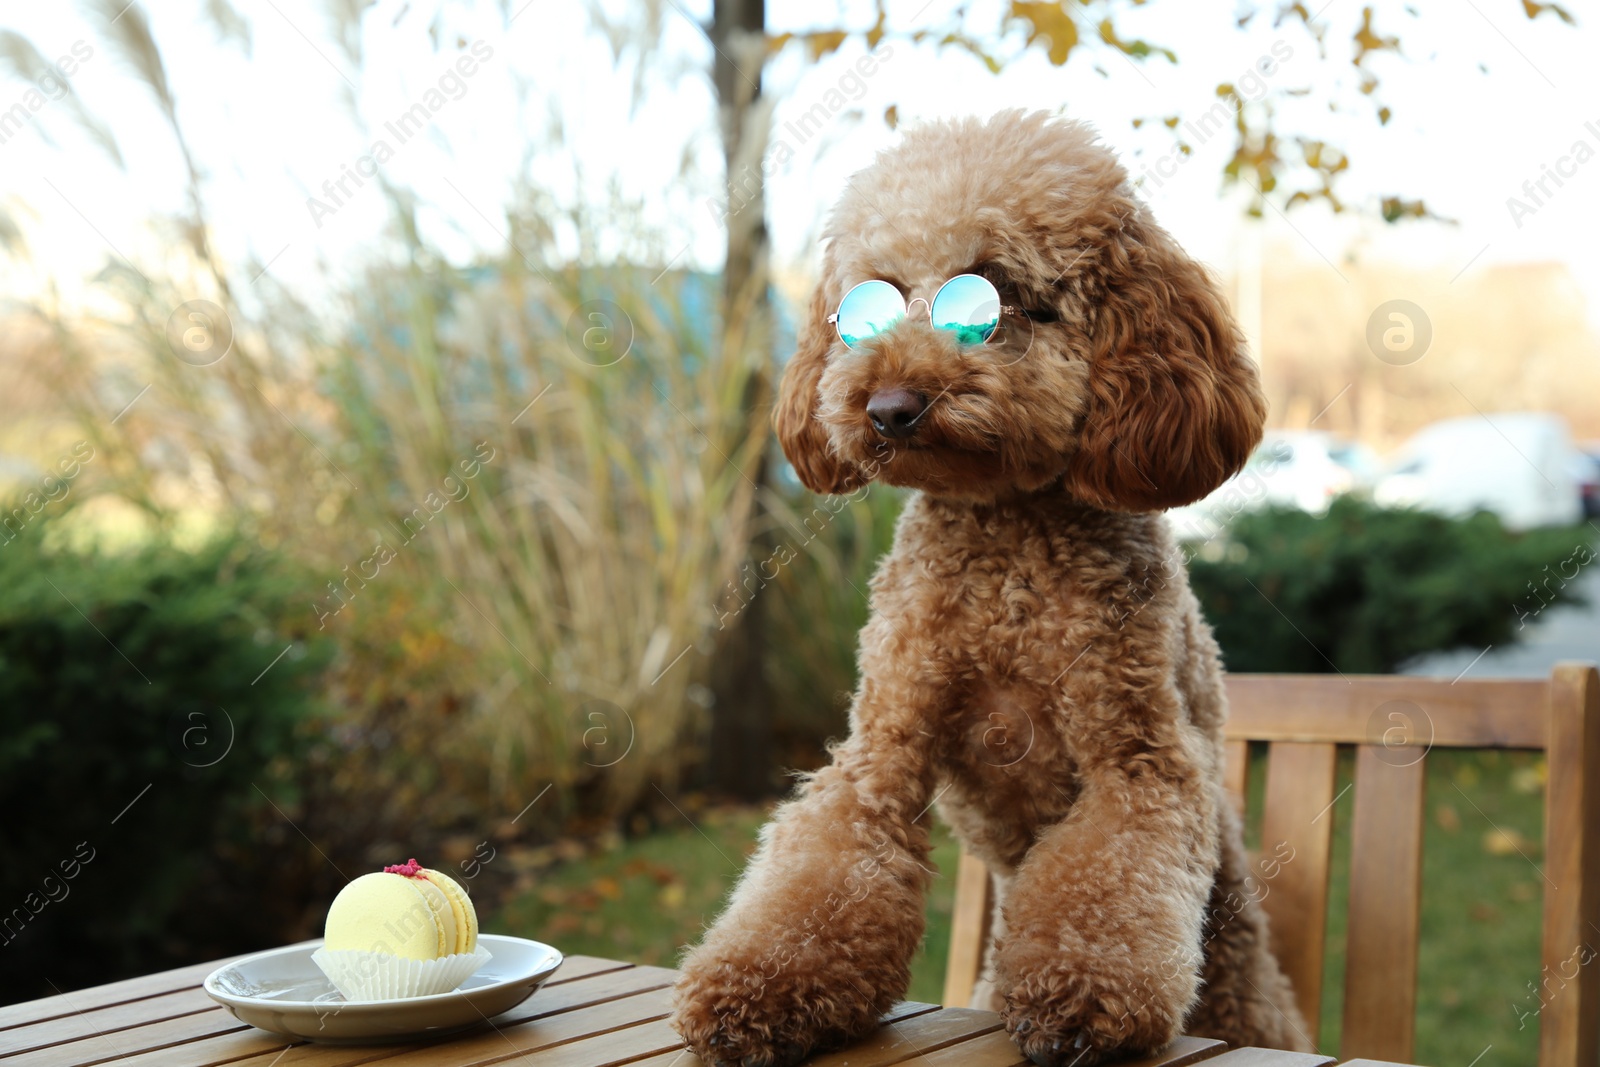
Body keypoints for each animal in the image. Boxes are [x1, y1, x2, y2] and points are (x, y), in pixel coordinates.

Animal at [668, 110, 1305, 1067]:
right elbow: (824, 859)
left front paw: (1079, 1001)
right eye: (869, 306)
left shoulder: (1139, 760)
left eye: (994, 300)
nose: (890, 405)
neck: (1006, 546)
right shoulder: (884, 745)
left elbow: (1107, 877)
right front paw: (757, 990)